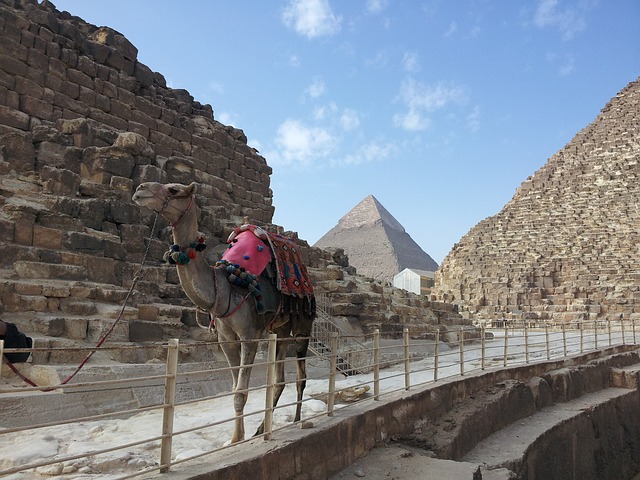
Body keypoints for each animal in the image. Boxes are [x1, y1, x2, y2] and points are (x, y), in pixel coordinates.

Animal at [132, 181, 316, 442]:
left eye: (174, 189)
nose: (140, 189)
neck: (224, 288)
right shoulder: (225, 337)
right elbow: (234, 389)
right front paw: (238, 436)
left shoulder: (249, 334)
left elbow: (241, 391)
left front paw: (235, 439)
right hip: (280, 328)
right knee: (279, 379)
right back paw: (262, 429)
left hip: (303, 322)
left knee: (301, 375)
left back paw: (298, 419)